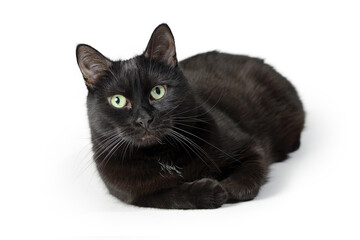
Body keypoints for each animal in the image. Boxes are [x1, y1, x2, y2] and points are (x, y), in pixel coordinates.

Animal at [75, 23, 304, 209]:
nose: (144, 119)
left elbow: (250, 172)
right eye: (118, 101)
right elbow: (172, 197)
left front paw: (228, 188)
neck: (161, 156)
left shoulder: (250, 146)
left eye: (158, 91)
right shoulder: (137, 196)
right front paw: (210, 192)